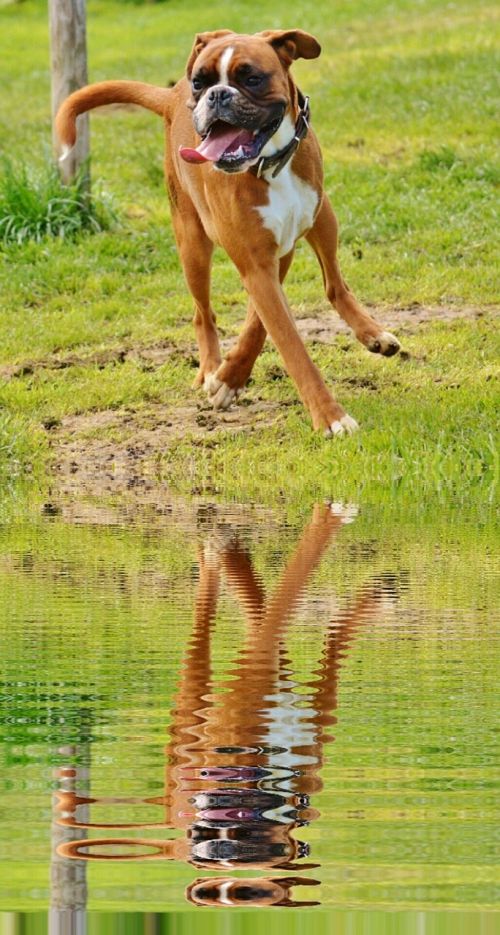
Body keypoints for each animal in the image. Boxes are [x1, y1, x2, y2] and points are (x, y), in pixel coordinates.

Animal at [56, 29, 400, 436]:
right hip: (192, 247)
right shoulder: (258, 265)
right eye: (201, 81)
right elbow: (290, 344)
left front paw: (233, 377)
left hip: (323, 217)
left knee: (335, 283)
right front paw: (329, 416)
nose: (216, 95)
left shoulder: (279, 252)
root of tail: (172, 97)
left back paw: (372, 333)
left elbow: (258, 325)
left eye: (251, 78)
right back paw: (209, 369)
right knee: (202, 314)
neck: (269, 164)